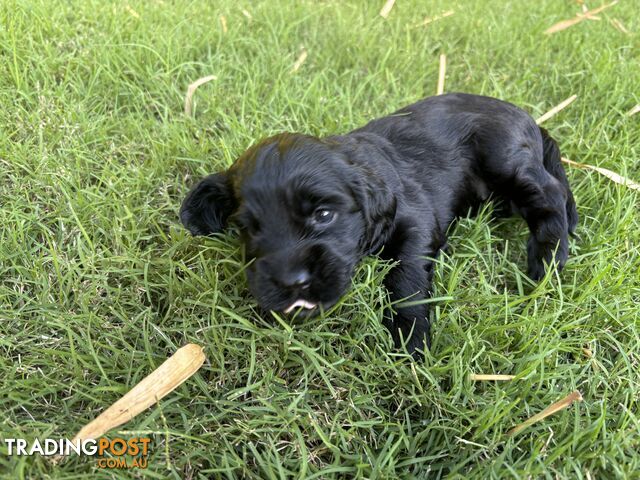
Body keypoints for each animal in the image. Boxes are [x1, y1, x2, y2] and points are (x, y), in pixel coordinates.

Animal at [178, 94, 576, 356]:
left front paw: (410, 340)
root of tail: (530, 120)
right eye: (250, 228)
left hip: (504, 159)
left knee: (550, 195)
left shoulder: (416, 220)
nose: (292, 283)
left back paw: (547, 260)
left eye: (324, 215)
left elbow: (406, 278)